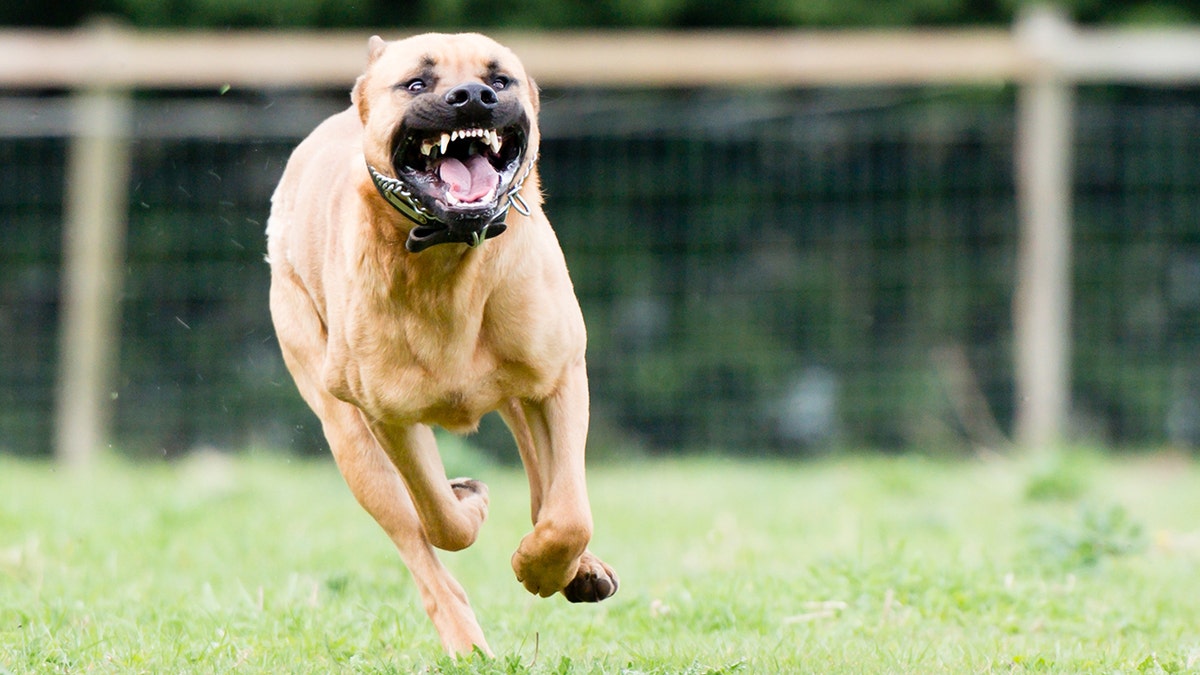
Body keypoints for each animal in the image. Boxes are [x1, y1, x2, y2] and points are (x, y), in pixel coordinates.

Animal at [264, 32, 619, 653]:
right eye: (415, 83)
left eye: (499, 80)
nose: (472, 96)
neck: (449, 255)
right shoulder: (388, 418)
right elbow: (440, 521)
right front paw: (469, 504)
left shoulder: (558, 377)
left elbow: (568, 514)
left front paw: (540, 566)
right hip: (348, 435)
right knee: (419, 545)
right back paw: (468, 643)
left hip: (520, 395)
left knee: (545, 487)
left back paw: (578, 570)